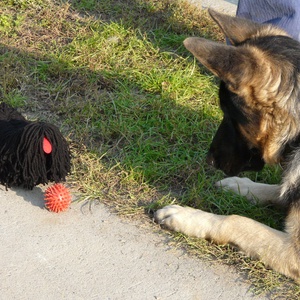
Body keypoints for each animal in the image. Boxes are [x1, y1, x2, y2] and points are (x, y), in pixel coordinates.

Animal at [155, 9, 300, 282]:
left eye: (229, 114)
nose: (210, 160)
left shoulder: (294, 251)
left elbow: (236, 220)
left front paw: (188, 216)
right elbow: (279, 190)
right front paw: (242, 186)